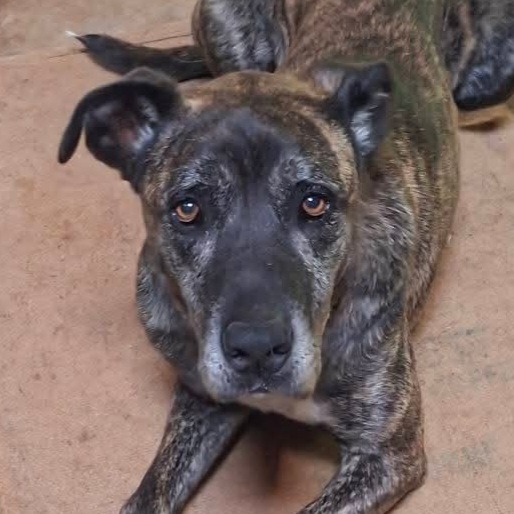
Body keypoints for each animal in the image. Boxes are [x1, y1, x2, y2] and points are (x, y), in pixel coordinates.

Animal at [58, 1, 514, 513]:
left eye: (314, 203)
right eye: (187, 209)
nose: (257, 348)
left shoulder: (387, 453)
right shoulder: (202, 396)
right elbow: (148, 494)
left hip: (490, 77)